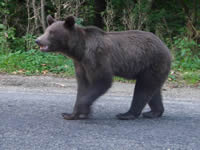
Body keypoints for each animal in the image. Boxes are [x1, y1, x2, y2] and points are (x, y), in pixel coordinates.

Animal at [35, 15, 171, 120]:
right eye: (46, 30)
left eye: (51, 33)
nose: (38, 40)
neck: (79, 50)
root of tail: (166, 48)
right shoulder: (81, 64)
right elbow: (83, 85)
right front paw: (72, 114)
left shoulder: (96, 57)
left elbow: (102, 81)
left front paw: (81, 110)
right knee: (153, 90)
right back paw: (153, 112)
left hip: (152, 63)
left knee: (143, 89)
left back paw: (126, 114)